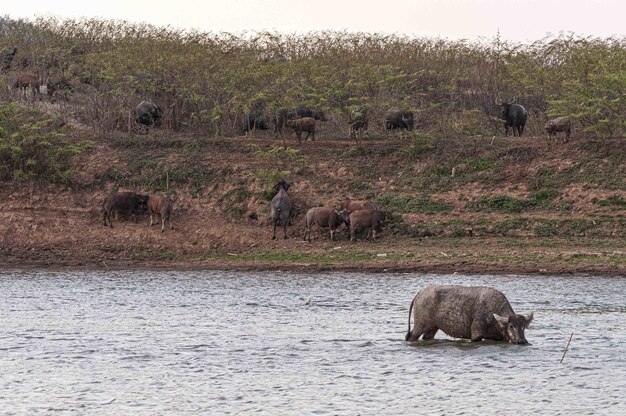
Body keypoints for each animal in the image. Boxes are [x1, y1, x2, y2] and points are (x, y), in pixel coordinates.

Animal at [404, 286, 532, 344]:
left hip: (432, 328)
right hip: (419, 325)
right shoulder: (476, 334)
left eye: (523, 326)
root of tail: (419, 294)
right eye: (511, 326)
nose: (522, 341)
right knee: (411, 336)